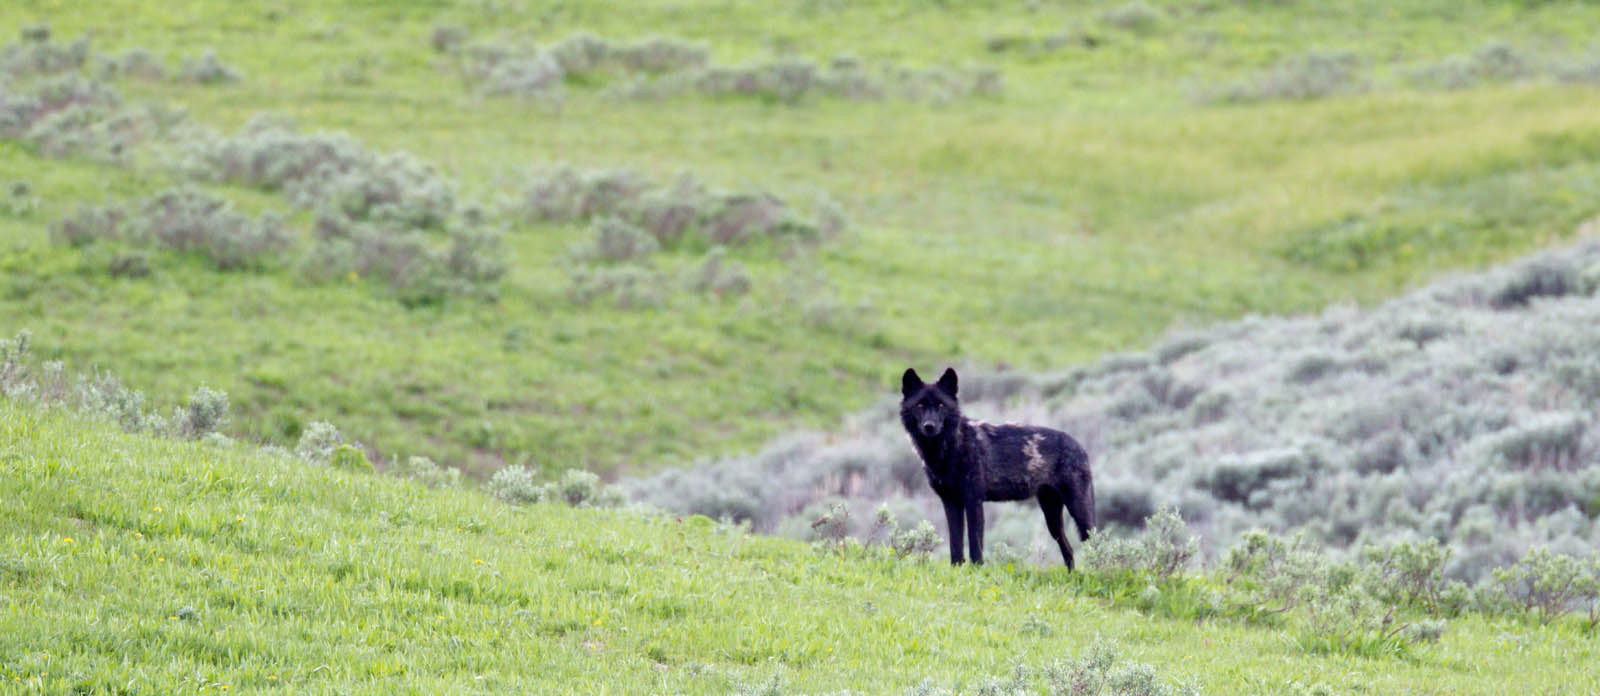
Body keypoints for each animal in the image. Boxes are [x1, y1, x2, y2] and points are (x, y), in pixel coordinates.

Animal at [908, 368, 1094, 569]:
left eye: (941, 405)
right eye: (920, 405)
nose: (929, 426)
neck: (952, 448)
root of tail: (1080, 446)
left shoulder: (973, 501)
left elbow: (975, 547)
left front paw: (976, 571)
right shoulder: (951, 503)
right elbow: (955, 546)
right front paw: (957, 570)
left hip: (1078, 512)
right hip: (1052, 518)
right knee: (1069, 549)